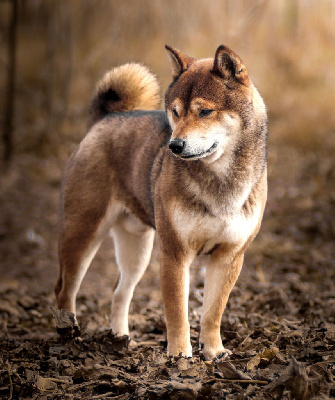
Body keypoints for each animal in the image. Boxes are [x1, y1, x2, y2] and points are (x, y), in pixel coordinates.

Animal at [55, 44, 270, 360]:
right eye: (175, 112)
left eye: (205, 111)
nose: (174, 145)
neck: (220, 180)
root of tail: (102, 120)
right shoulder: (175, 253)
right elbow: (178, 312)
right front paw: (180, 356)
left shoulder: (229, 256)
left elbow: (212, 312)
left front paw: (214, 351)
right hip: (82, 233)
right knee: (64, 289)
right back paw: (68, 334)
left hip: (136, 250)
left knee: (119, 292)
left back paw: (120, 339)